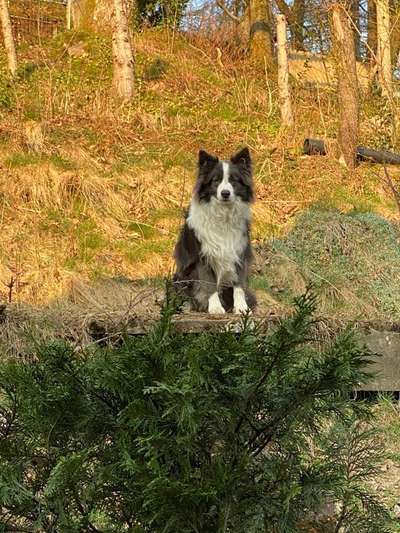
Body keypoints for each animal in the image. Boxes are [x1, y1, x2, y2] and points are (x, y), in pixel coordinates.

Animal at [173, 147, 256, 312]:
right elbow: (209, 283)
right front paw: (216, 308)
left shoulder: (239, 251)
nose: (225, 193)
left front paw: (241, 308)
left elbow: (239, 283)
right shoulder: (203, 256)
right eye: (216, 180)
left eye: (233, 180)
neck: (224, 214)